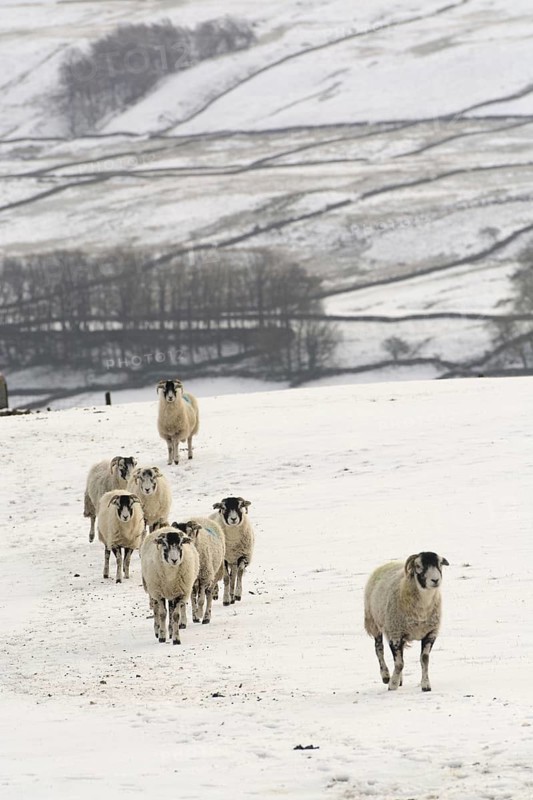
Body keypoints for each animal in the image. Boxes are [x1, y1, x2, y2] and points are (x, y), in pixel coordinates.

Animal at [364, 552, 449, 692]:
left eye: (440, 564)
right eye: (418, 566)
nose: (435, 580)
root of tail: (389, 563)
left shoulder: (430, 633)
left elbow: (424, 659)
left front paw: (426, 685)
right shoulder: (395, 634)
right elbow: (399, 663)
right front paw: (392, 684)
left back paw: (399, 679)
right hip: (374, 623)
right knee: (379, 649)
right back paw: (386, 676)